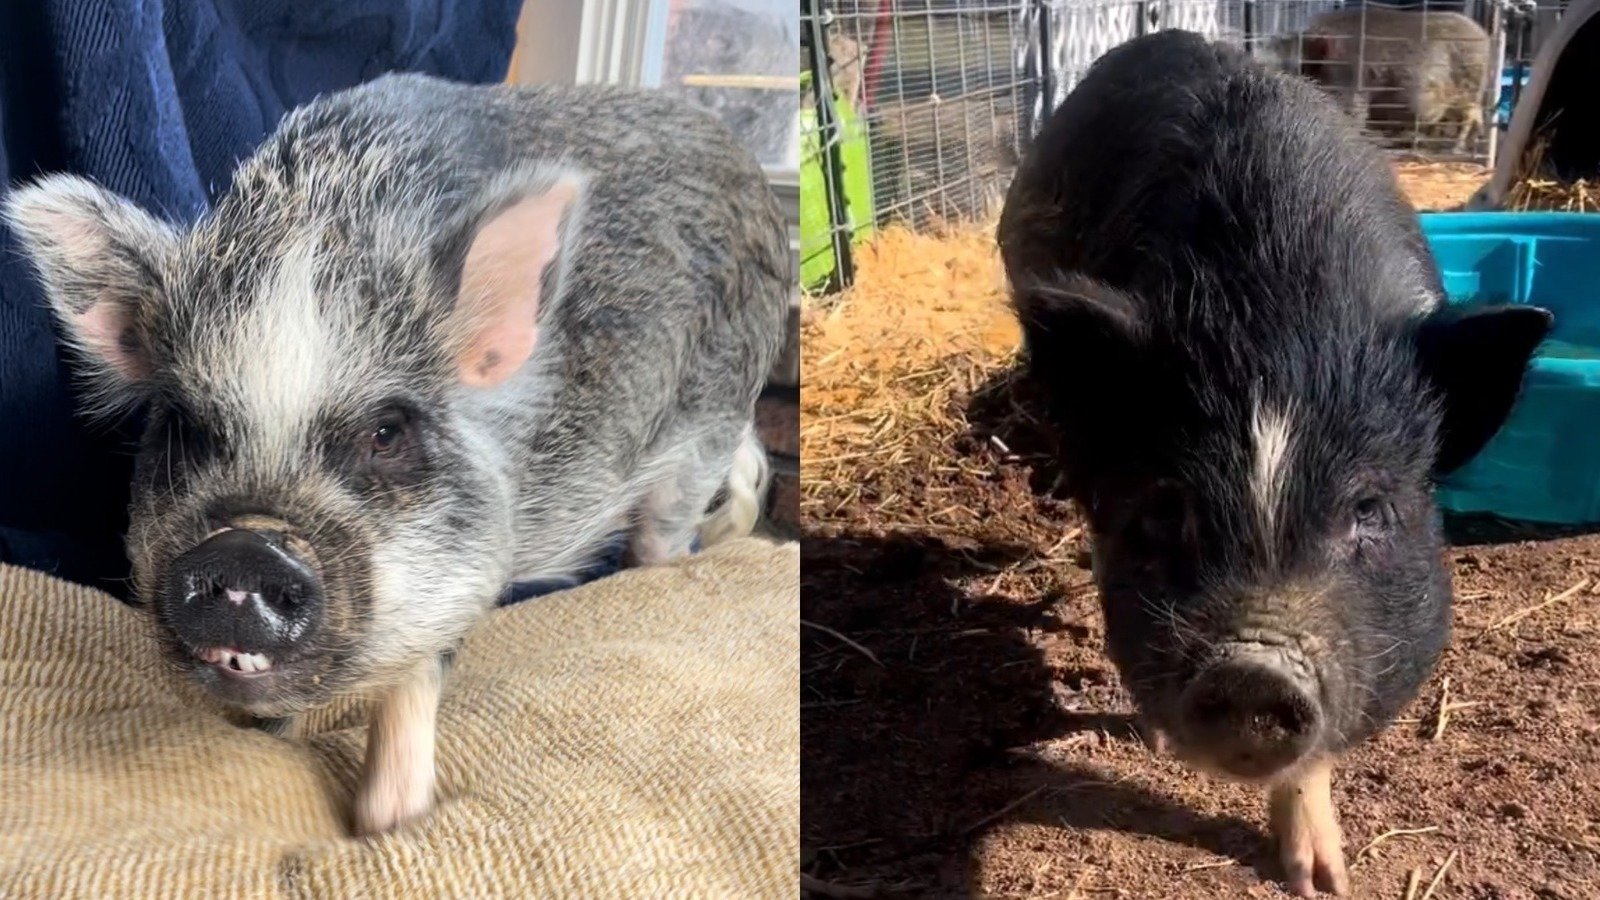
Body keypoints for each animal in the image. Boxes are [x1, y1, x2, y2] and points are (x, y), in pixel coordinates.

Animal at [4, 73, 789, 836]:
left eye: (387, 432)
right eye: (186, 427)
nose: (248, 546)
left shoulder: (468, 555)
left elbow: (414, 681)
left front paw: (389, 822)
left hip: (713, 416)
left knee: (668, 534)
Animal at [1272, 7, 1493, 154]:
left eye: (1301, 68)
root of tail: (1484, 36)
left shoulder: (1351, 89)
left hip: (1469, 89)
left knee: (1470, 116)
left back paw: (1455, 148)